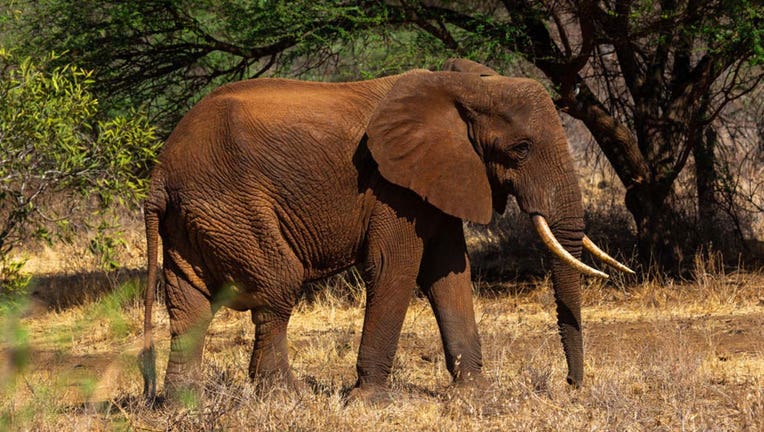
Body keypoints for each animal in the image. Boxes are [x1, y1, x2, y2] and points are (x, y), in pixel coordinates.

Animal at [139, 58, 633, 403]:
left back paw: (185, 405)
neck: (462, 86)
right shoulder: (390, 186)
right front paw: (370, 401)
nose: (571, 385)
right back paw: (285, 397)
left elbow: (449, 272)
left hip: (194, 217)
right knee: (276, 289)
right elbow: (395, 267)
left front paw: (474, 393)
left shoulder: (436, 176)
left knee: (189, 307)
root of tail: (160, 171)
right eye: (522, 149)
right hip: (231, 205)